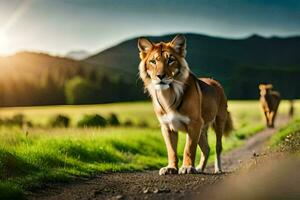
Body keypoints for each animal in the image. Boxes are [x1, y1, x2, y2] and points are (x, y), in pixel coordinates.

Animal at [137, 34, 233, 175]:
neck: (168, 94)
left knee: (218, 147)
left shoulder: (194, 123)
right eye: (153, 61)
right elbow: (171, 151)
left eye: (170, 60)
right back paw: (199, 169)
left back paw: (217, 169)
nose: (160, 76)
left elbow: (189, 148)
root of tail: (215, 81)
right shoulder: (167, 126)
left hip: (219, 122)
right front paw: (171, 168)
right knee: (206, 148)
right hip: (202, 129)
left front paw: (187, 167)